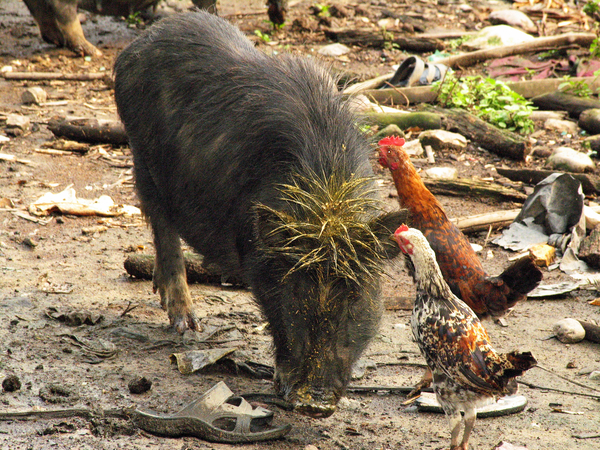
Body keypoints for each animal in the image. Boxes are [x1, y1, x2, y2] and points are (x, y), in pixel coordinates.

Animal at [115, 11, 406, 418]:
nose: (312, 401)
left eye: (355, 298)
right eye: (296, 295)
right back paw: (186, 325)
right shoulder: (256, 257)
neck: (326, 201)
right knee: (161, 225)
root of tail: (136, 46)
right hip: (142, 157)